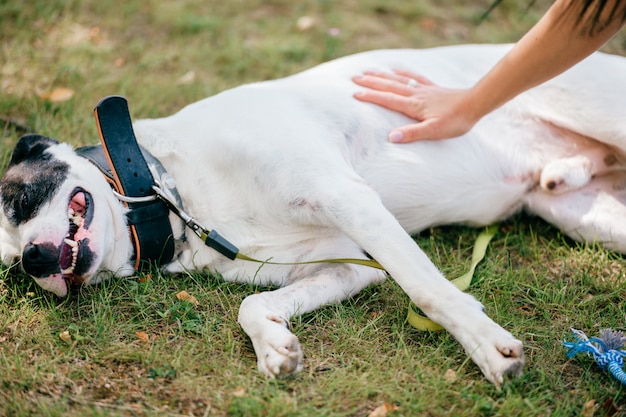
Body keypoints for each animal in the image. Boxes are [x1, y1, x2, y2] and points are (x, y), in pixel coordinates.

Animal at [1, 44, 624, 386]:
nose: (33, 260)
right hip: (589, 219)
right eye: (11, 271)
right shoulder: (350, 265)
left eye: (20, 201)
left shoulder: (349, 199)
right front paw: (275, 346)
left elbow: (430, 291)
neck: (176, 193)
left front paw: (488, 348)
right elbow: (253, 305)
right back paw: (566, 170)